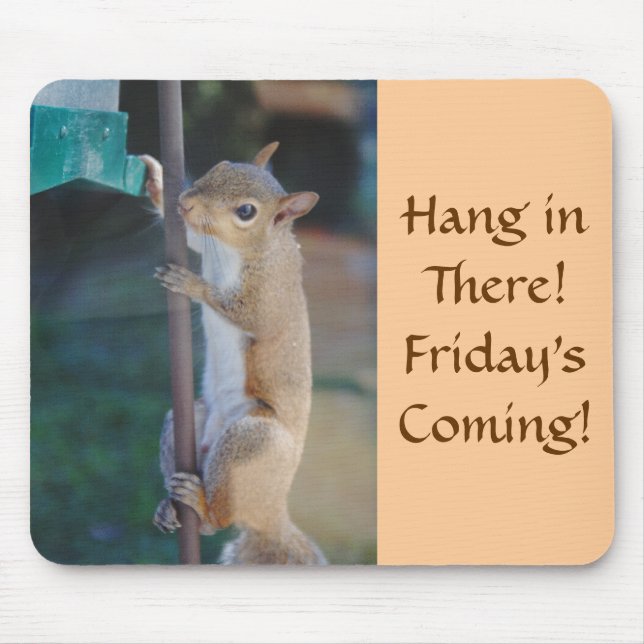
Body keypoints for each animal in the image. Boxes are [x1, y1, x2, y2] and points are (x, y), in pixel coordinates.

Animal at [139, 143, 326, 564]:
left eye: (245, 212)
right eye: (219, 167)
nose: (186, 203)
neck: (232, 249)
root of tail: (272, 512)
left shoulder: (270, 294)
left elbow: (247, 313)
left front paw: (193, 284)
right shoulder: (204, 242)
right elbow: (193, 238)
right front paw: (157, 182)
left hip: (252, 440)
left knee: (220, 519)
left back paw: (202, 506)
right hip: (190, 420)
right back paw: (170, 506)